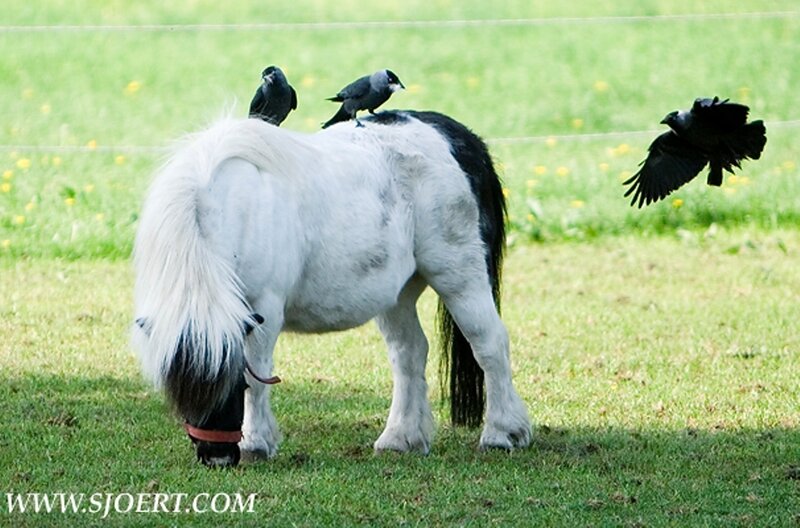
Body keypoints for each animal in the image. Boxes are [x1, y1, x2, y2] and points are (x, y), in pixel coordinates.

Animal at [132, 110, 531, 466]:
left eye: (232, 384)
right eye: (182, 387)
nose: (217, 457)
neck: (223, 207)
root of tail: (456, 136)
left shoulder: (263, 310)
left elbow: (258, 375)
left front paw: (256, 443)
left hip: (459, 276)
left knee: (489, 344)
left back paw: (502, 434)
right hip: (397, 294)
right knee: (409, 353)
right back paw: (400, 439)